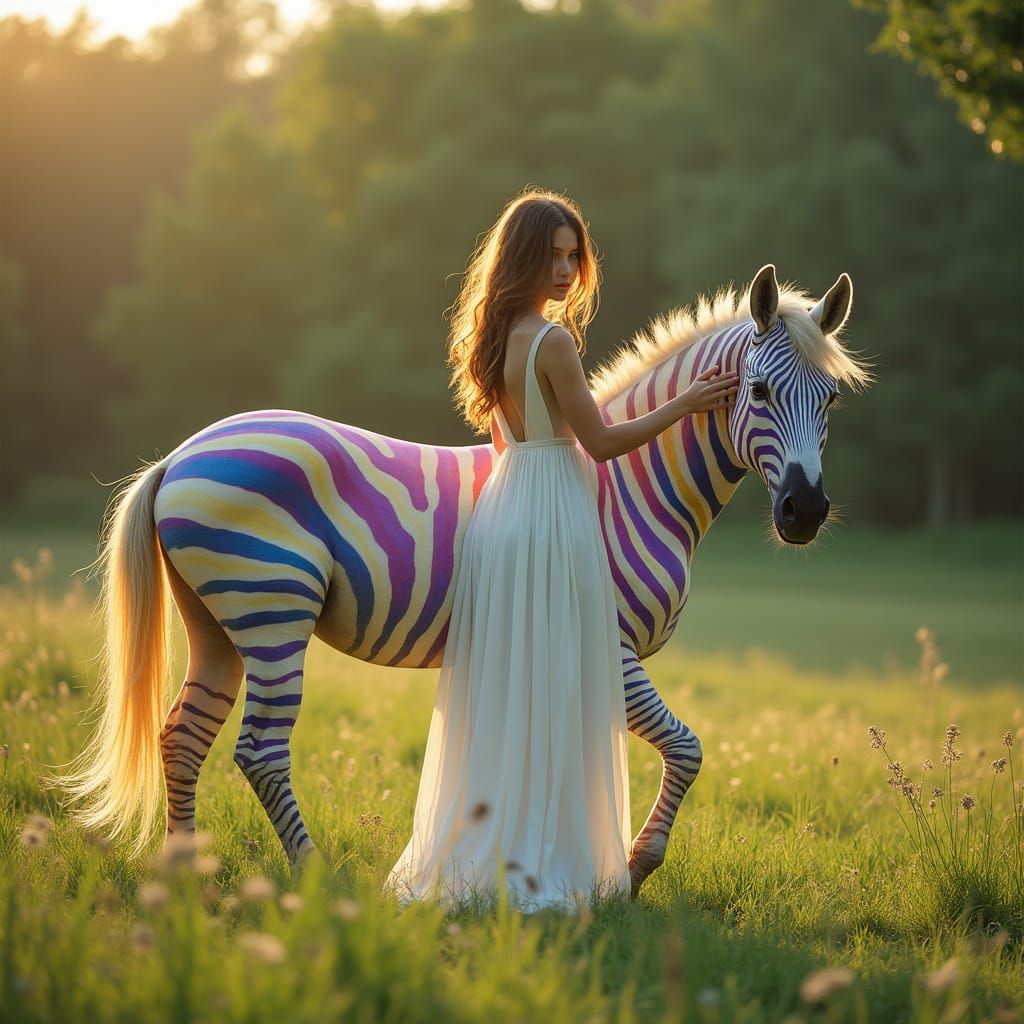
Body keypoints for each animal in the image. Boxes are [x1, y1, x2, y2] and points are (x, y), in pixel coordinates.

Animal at [59, 264, 870, 898]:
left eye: (831, 400)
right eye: (758, 392)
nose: (804, 512)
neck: (627, 486)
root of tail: (183, 455)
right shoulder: (608, 642)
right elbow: (687, 748)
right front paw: (633, 866)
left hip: (217, 623)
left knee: (182, 737)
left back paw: (182, 875)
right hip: (271, 607)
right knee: (257, 750)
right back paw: (316, 877)